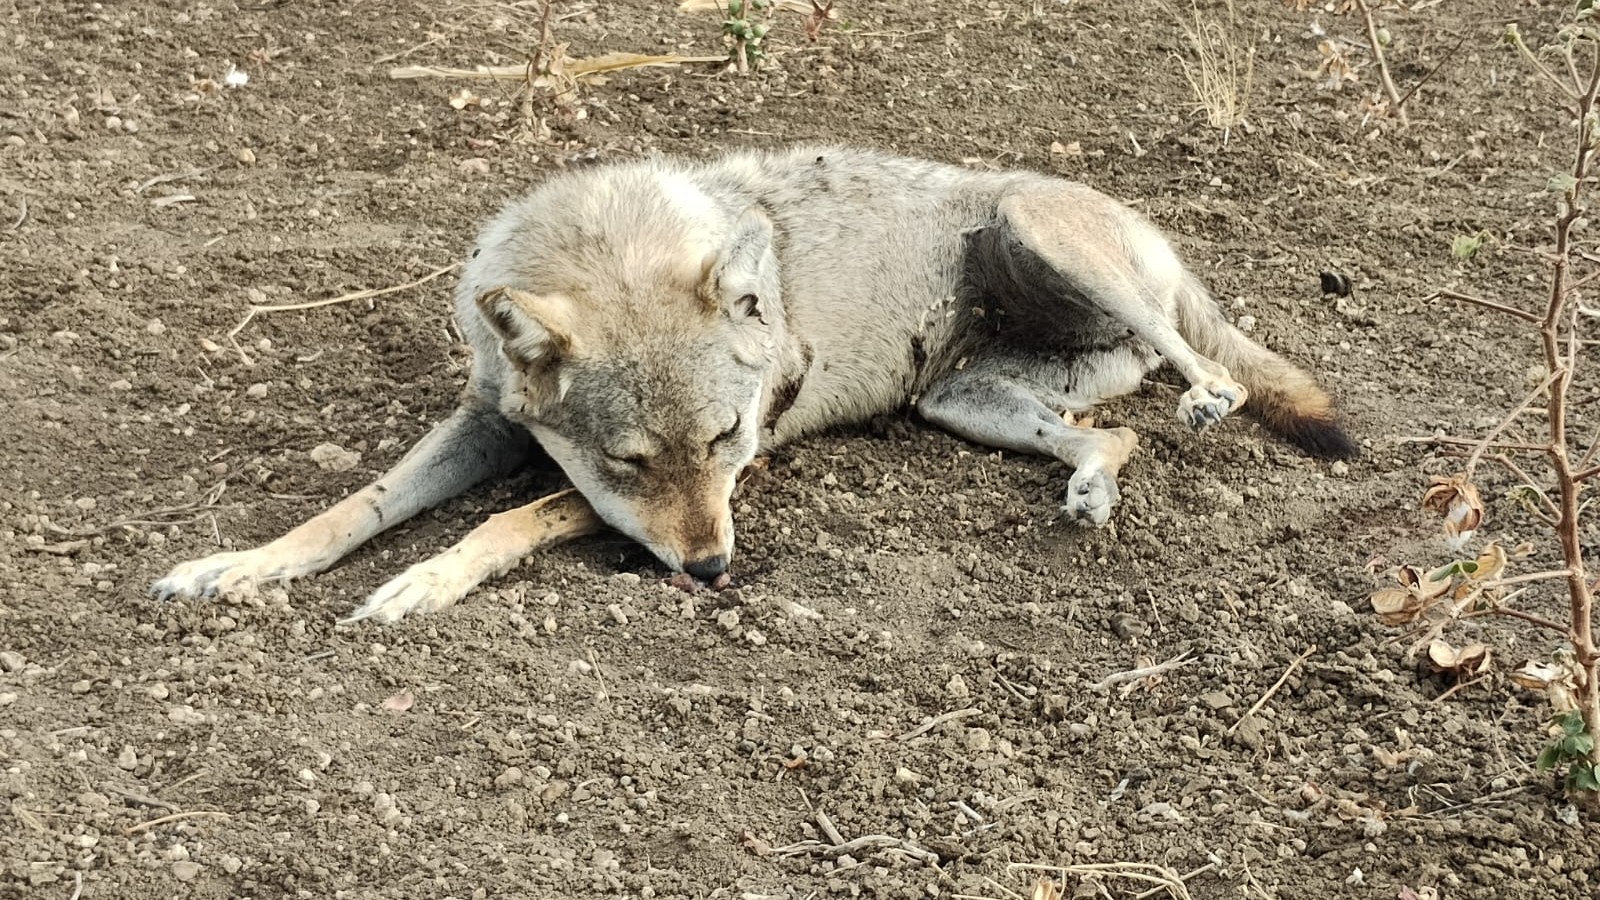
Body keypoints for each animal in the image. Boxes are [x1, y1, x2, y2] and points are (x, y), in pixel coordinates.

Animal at [151, 145, 1355, 623]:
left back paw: (1203, 397)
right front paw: (239, 566)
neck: (609, 245)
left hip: (1043, 235)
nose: (714, 571)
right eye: (631, 459)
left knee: (1209, 370)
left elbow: (512, 521)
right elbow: (351, 508)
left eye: (727, 443)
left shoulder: (750, 466)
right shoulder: (489, 425)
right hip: (963, 405)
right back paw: (1092, 486)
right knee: (1112, 437)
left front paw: (422, 583)